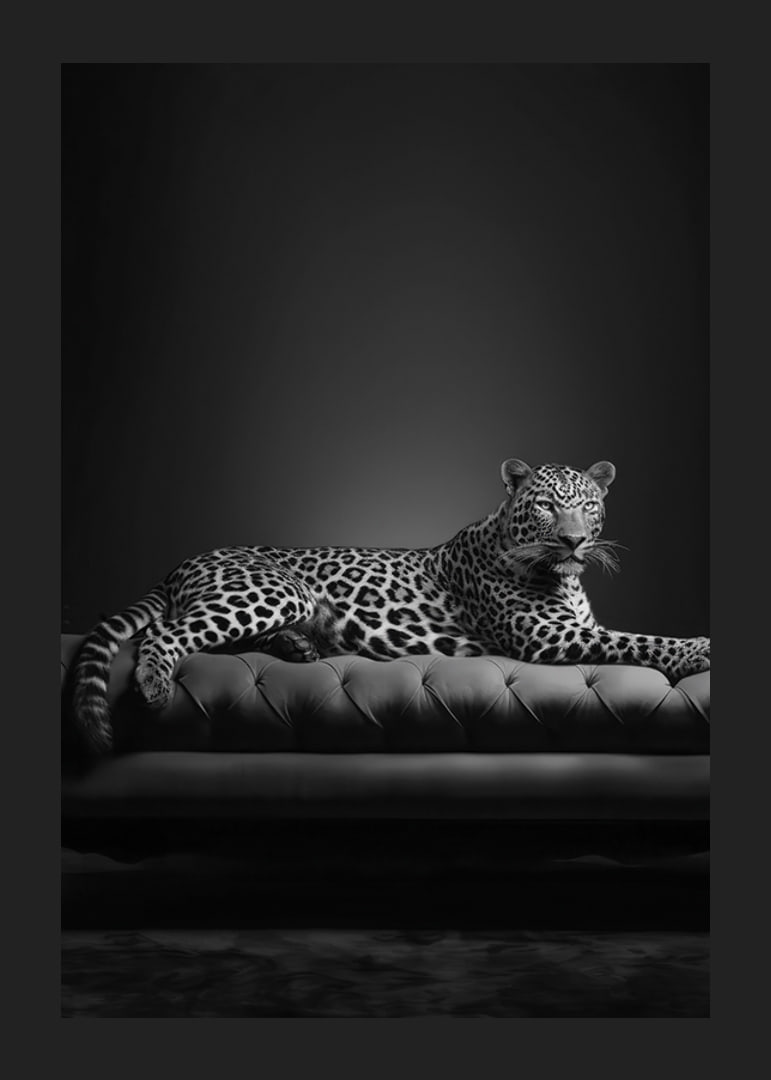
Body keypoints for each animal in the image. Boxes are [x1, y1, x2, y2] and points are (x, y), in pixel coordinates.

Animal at [69, 458, 710, 756]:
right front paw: (699, 649)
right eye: (549, 506)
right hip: (274, 589)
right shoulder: (547, 637)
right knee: (166, 635)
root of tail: (183, 562)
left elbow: (632, 635)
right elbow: (640, 640)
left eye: (588, 505)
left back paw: (298, 646)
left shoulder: (574, 626)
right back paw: (154, 684)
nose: (575, 541)